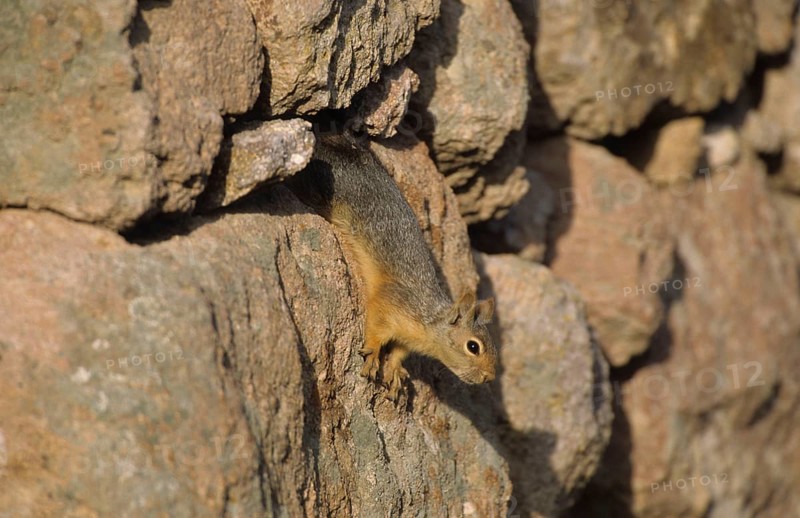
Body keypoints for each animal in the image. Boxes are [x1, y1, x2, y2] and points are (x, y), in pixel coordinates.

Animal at [288, 132, 497, 401]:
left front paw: (396, 369)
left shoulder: (406, 340)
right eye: (473, 346)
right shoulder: (390, 305)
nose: (489, 377)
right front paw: (374, 353)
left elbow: (398, 352)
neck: (427, 323)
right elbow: (375, 327)